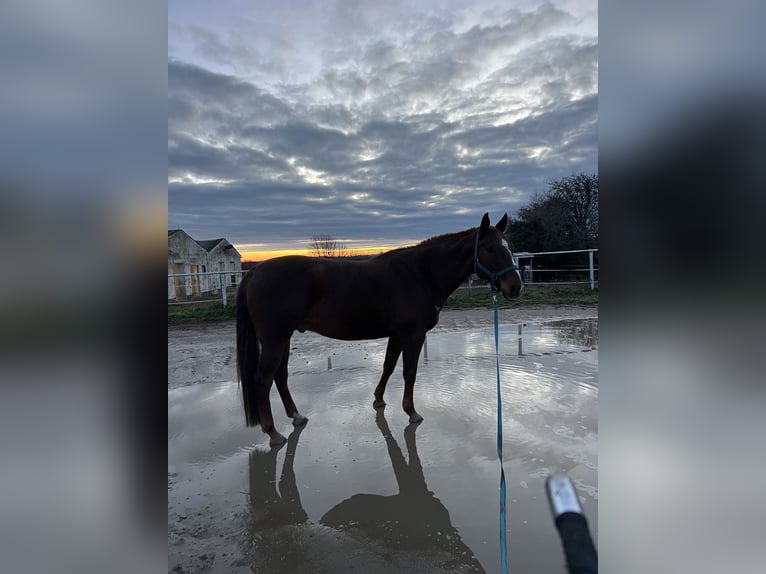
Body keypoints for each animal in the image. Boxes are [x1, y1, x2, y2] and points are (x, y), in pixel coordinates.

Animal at [236, 212, 523, 446]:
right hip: (274, 339)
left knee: (280, 377)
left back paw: (296, 416)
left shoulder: (396, 334)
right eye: (488, 248)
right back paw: (273, 433)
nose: (515, 287)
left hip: (284, 338)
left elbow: (388, 366)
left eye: (510, 247)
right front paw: (411, 412)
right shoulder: (413, 334)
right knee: (262, 380)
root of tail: (254, 271)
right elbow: (409, 372)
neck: (421, 273)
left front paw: (378, 400)